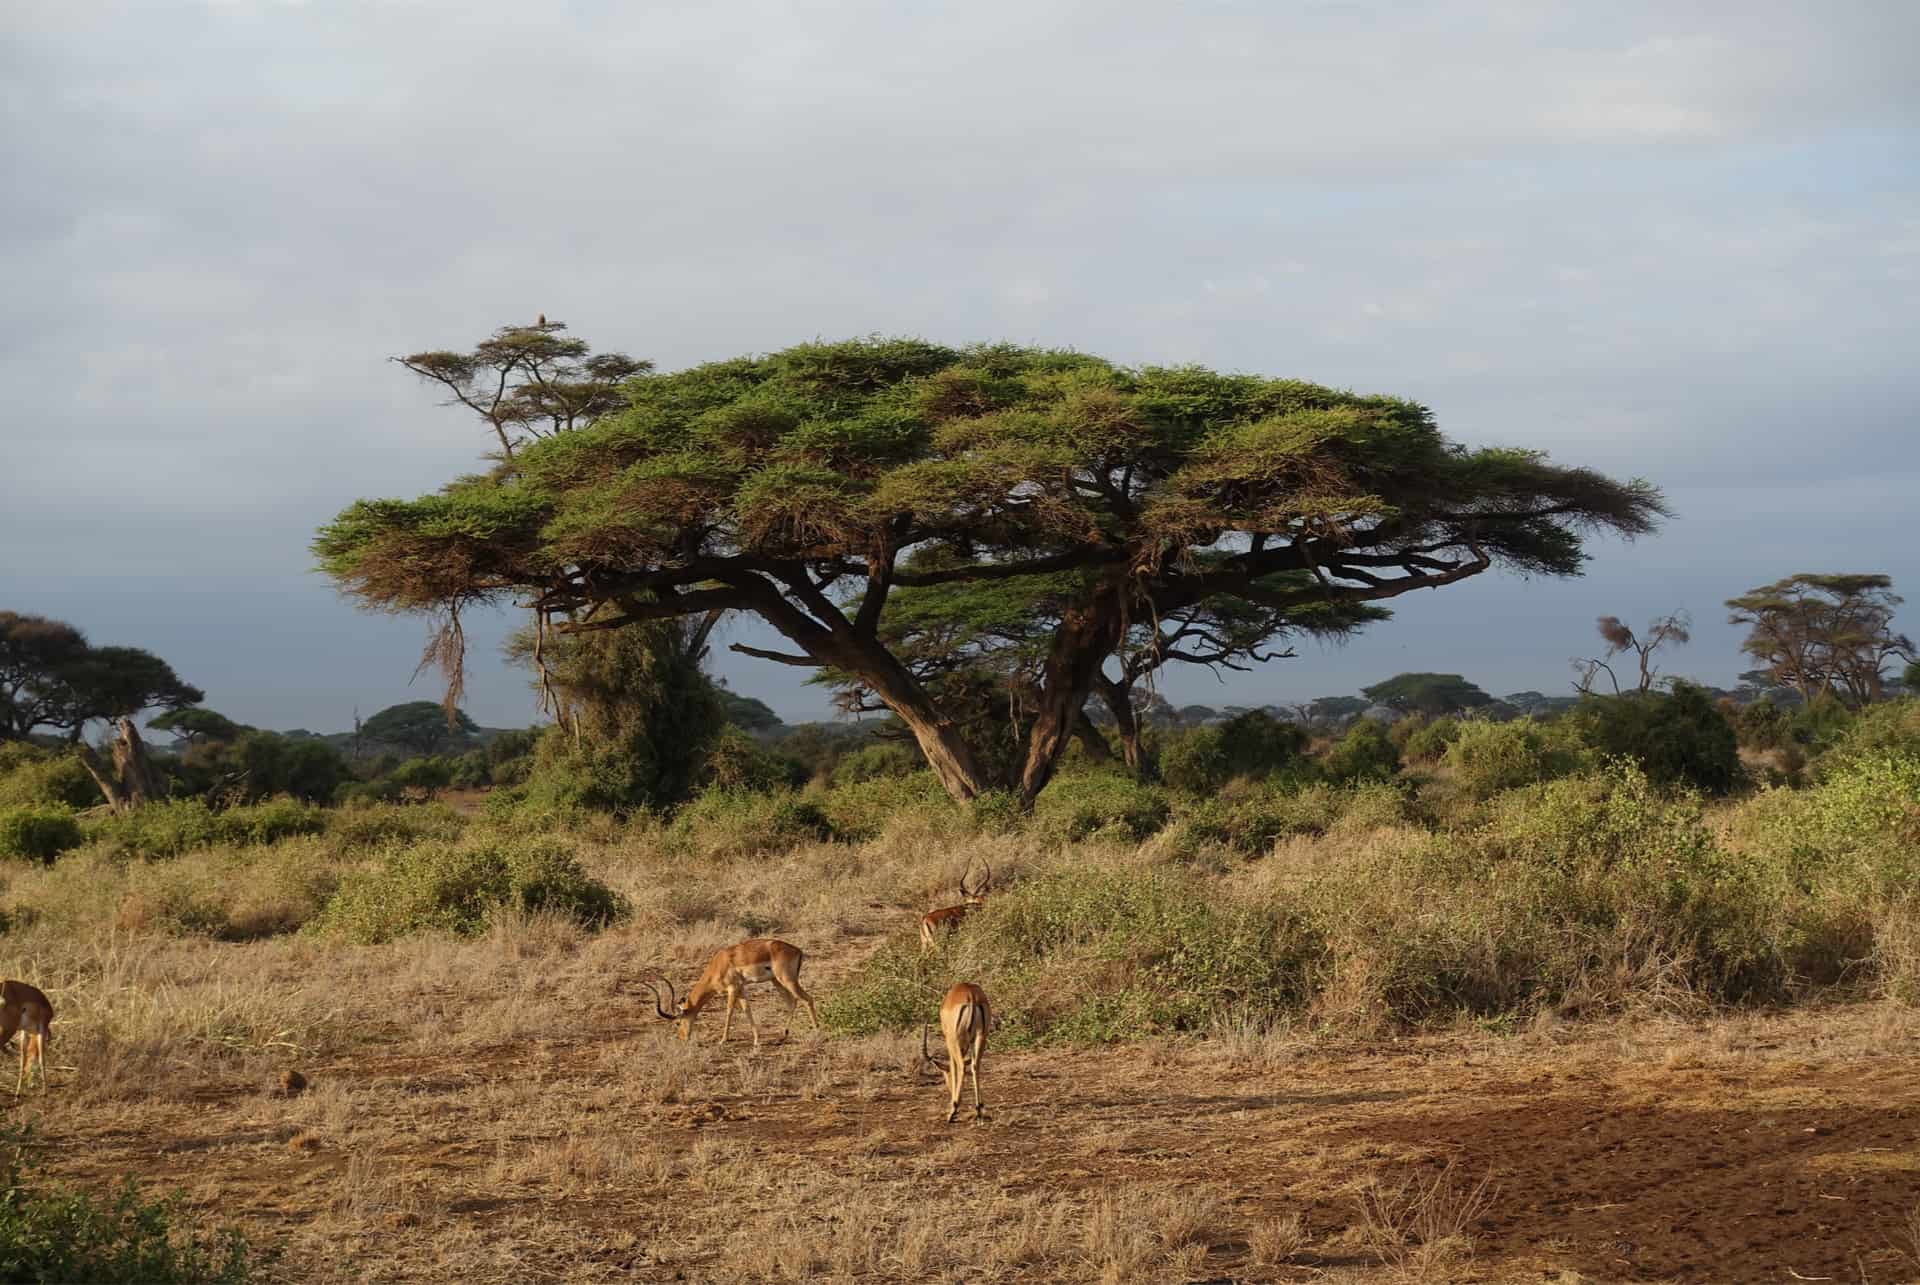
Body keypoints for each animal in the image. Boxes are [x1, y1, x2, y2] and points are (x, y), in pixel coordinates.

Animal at [648, 937, 821, 1044]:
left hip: (787, 980)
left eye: (677, 1022)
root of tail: (798, 950)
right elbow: (747, 1009)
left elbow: (729, 1011)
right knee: (792, 1002)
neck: (718, 964)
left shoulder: (732, 988)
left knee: (808, 999)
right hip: (777, 981)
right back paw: (782, 1037)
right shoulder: (742, 988)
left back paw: (816, 1032)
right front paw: (756, 1040)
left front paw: (723, 1040)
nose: (682, 1037)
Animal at [925, 983, 998, 1121]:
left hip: (955, 1040)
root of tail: (971, 995)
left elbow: (954, 1068)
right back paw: (978, 1109)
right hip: (981, 1036)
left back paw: (953, 1111)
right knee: (975, 1066)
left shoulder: (949, 1041)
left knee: (962, 1066)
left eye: (945, 1077)